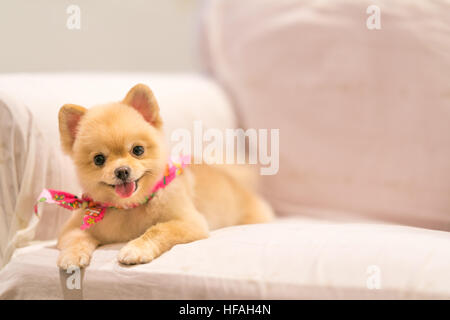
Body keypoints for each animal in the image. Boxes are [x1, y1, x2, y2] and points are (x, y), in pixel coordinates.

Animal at [56, 84, 274, 268]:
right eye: (99, 159)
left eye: (138, 150)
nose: (122, 171)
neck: (130, 207)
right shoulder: (71, 230)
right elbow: (74, 239)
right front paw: (71, 256)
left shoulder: (189, 222)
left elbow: (158, 230)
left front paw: (136, 248)